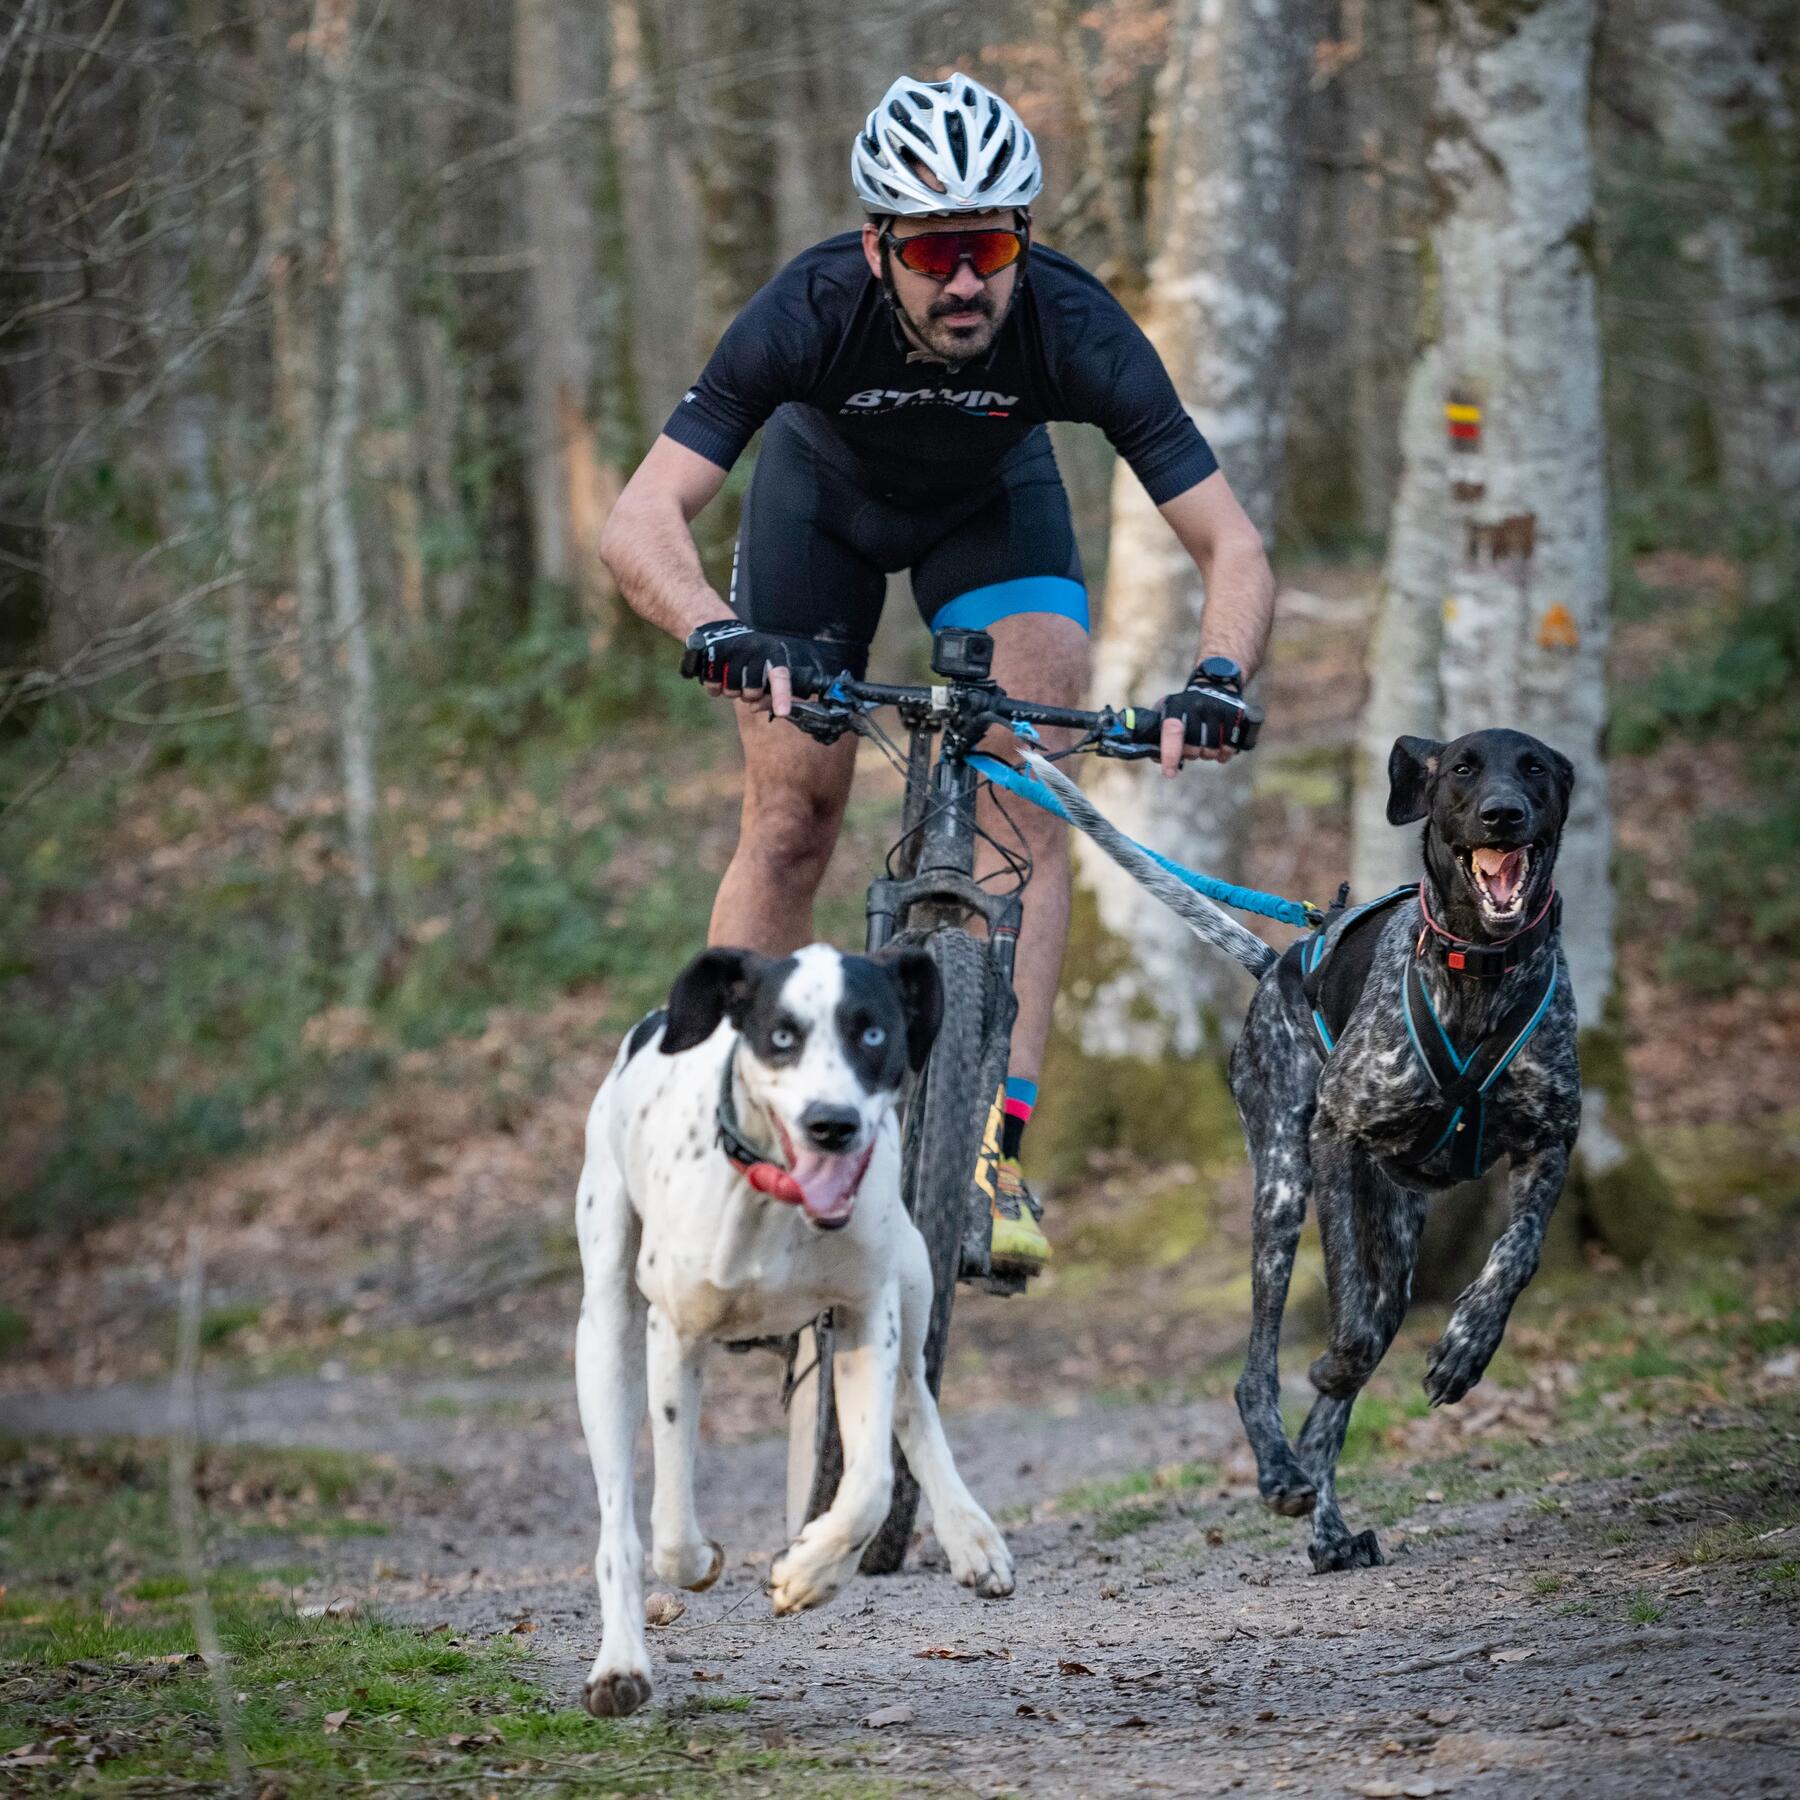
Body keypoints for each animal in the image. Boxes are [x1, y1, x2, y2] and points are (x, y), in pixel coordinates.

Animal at [1231, 730, 1584, 1576]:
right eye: (1462, 768)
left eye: (1534, 768)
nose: (1502, 814)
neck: (1481, 967)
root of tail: (1278, 963)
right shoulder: (1336, 1133)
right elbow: (1349, 1333)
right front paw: (1337, 1364)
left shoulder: (1550, 1141)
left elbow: (1517, 1257)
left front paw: (1466, 1348)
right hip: (1284, 1188)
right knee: (1260, 1368)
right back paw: (1280, 1470)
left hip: (1396, 1241)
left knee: (1338, 1401)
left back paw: (1328, 1532)